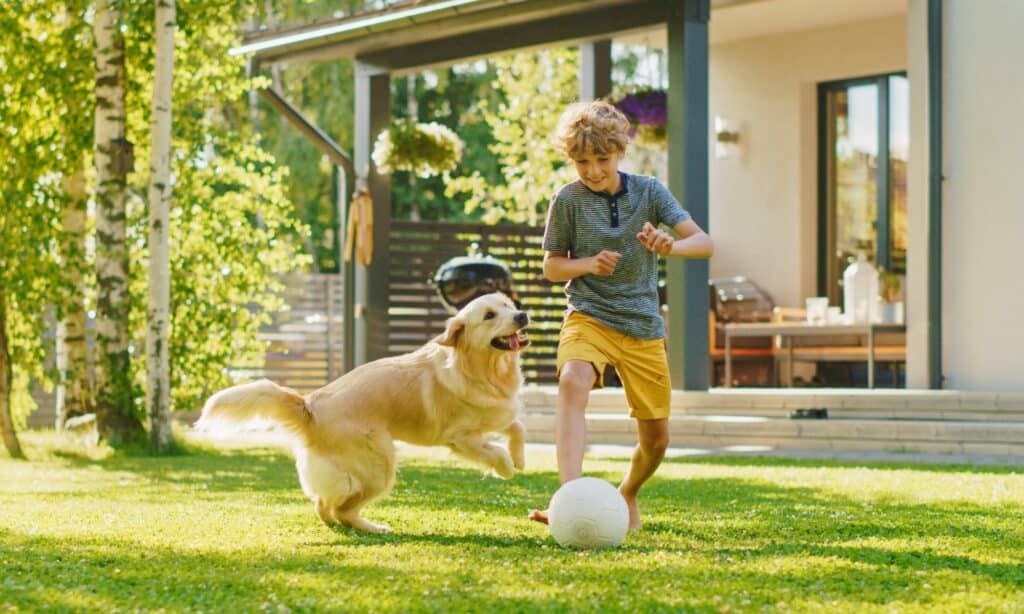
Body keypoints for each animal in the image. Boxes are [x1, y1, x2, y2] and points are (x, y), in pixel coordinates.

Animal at [193, 292, 528, 532]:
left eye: (507, 304)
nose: (522, 315)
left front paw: (520, 458)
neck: (482, 370)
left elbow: (517, 427)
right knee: (340, 508)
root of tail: (310, 405)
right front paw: (506, 468)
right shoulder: (459, 438)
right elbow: (494, 450)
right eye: (489, 315)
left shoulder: (496, 413)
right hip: (381, 466)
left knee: (323, 504)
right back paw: (373, 527)